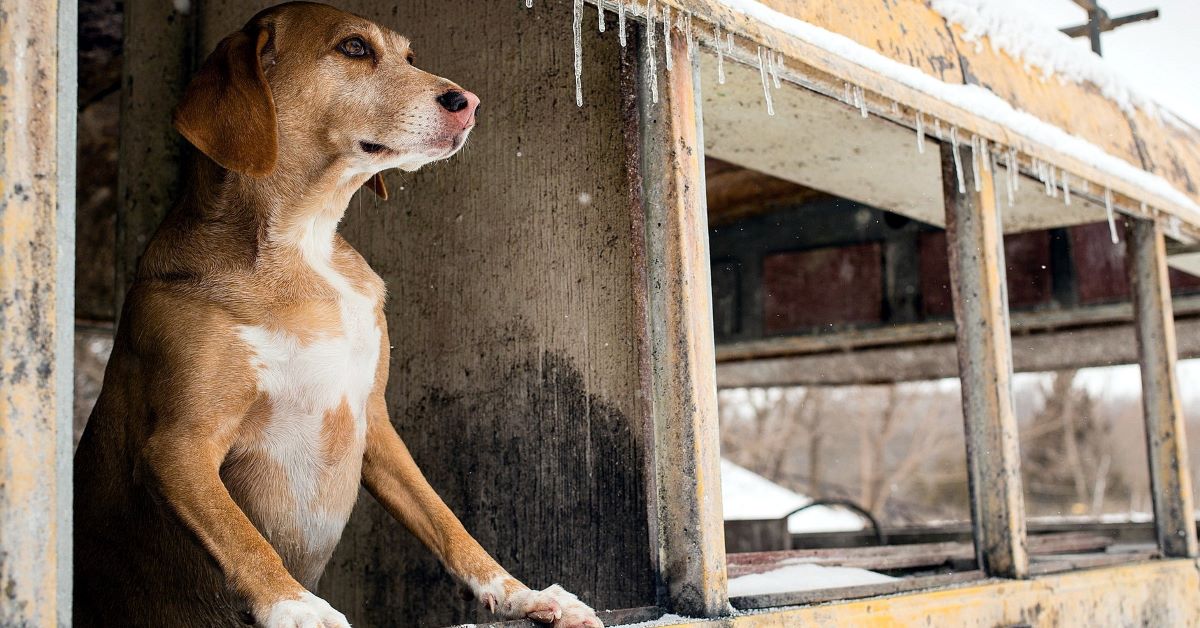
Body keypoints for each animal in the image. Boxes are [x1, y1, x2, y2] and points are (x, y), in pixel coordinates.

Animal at [71, 2, 604, 624]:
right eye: (354, 47)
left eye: (410, 56)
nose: (470, 102)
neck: (305, 244)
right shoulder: (179, 448)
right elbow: (241, 536)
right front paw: (295, 606)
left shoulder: (375, 419)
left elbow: (446, 520)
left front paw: (522, 592)